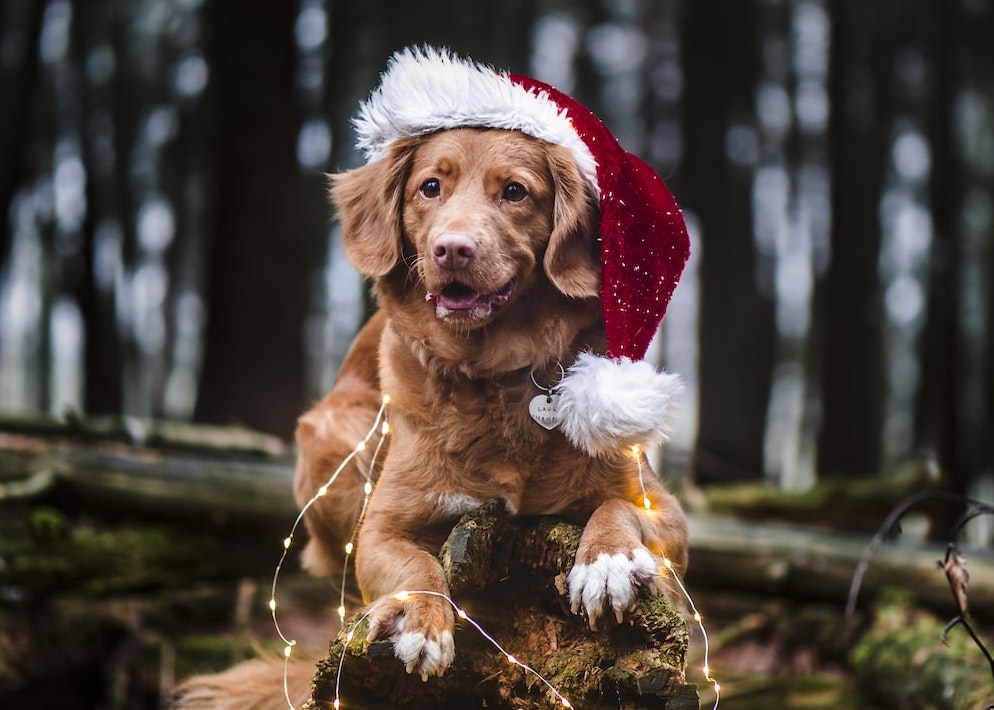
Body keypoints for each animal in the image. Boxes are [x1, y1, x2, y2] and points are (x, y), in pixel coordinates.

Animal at [290, 125, 684, 680]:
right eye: (430, 187)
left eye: (515, 191)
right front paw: (420, 617)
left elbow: (618, 505)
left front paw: (608, 562)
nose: (452, 249)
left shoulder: (666, 509)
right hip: (336, 435)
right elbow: (414, 561)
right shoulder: (379, 529)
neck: (491, 374)